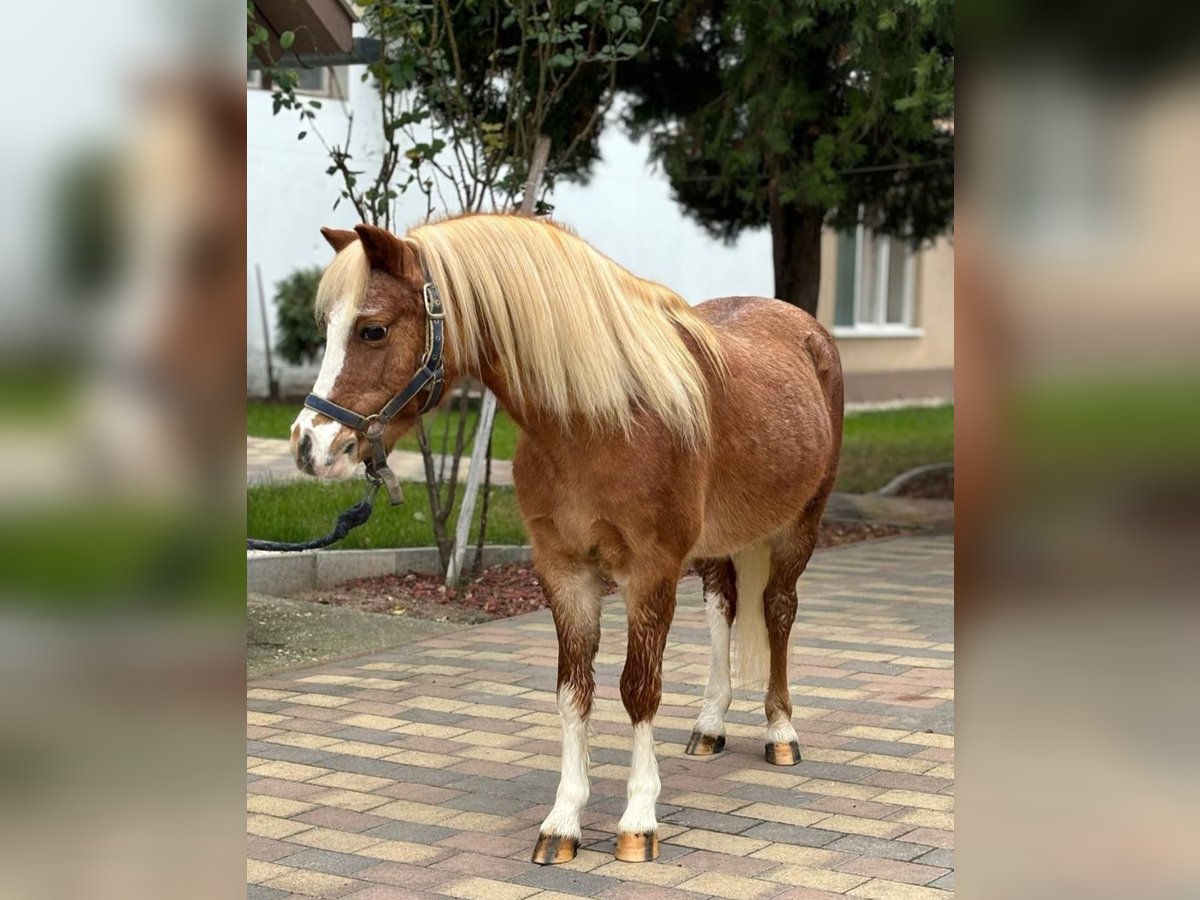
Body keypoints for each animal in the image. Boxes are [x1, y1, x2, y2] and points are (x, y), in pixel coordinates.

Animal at [288, 217, 844, 868]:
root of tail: (806, 329)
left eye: (372, 329)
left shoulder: (650, 573)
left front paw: (638, 823)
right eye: (327, 328)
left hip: (799, 525)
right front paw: (562, 823)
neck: (604, 417)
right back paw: (710, 725)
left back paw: (781, 732)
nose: (308, 446)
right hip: (715, 547)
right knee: (722, 608)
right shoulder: (563, 572)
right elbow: (572, 693)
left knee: (778, 611)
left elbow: (638, 689)